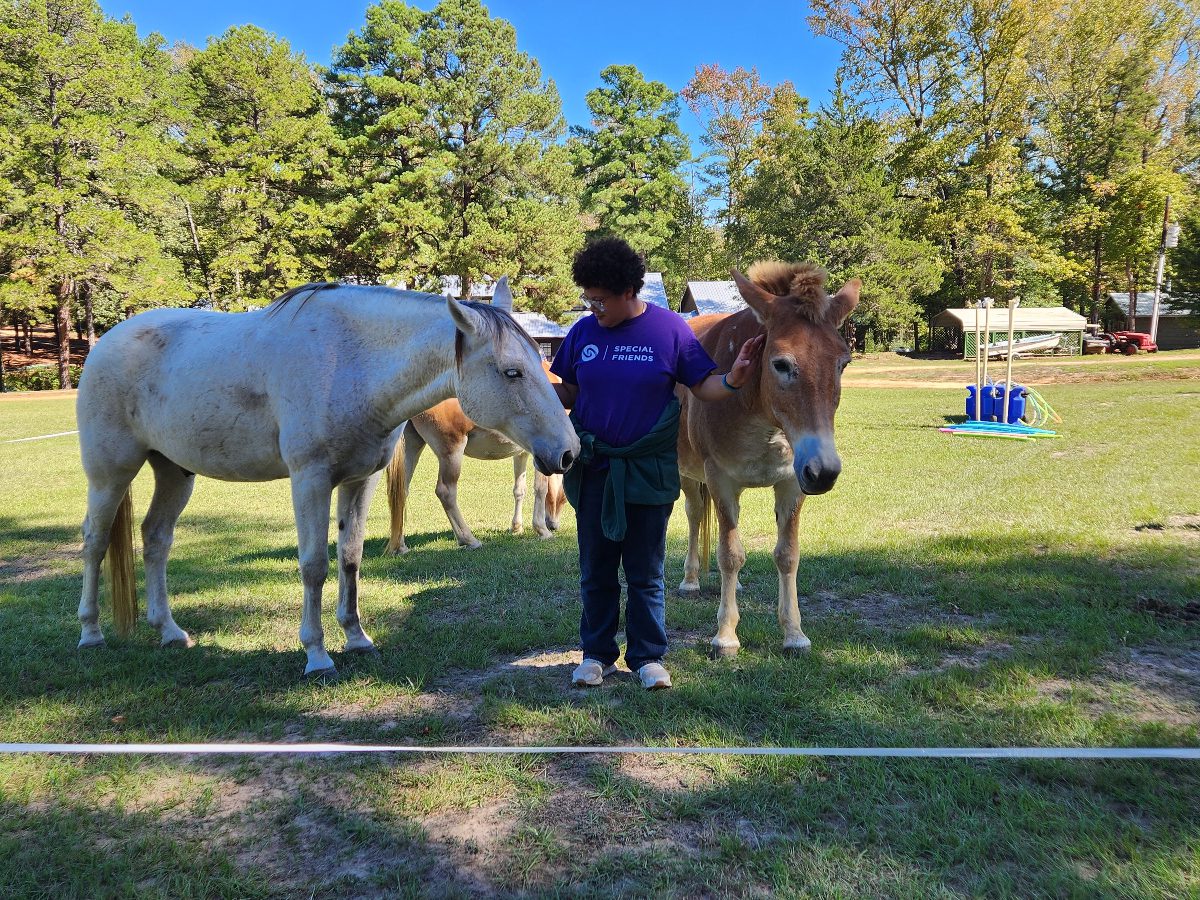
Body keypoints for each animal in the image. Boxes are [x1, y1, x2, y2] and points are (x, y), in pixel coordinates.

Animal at [383, 359, 568, 555]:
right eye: (564, 499)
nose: (553, 525)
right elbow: (541, 488)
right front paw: (542, 530)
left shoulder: (522, 453)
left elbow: (519, 489)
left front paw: (517, 527)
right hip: (452, 451)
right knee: (445, 492)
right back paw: (468, 539)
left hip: (412, 446)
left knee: (401, 491)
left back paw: (400, 546)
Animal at [677, 262, 858, 657]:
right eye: (781, 364)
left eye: (843, 364)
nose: (825, 472)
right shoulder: (720, 479)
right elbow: (730, 553)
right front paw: (726, 636)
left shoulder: (792, 482)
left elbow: (787, 555)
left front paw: (794, 633)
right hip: (688, 474)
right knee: (696, 515)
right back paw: (691, 580)